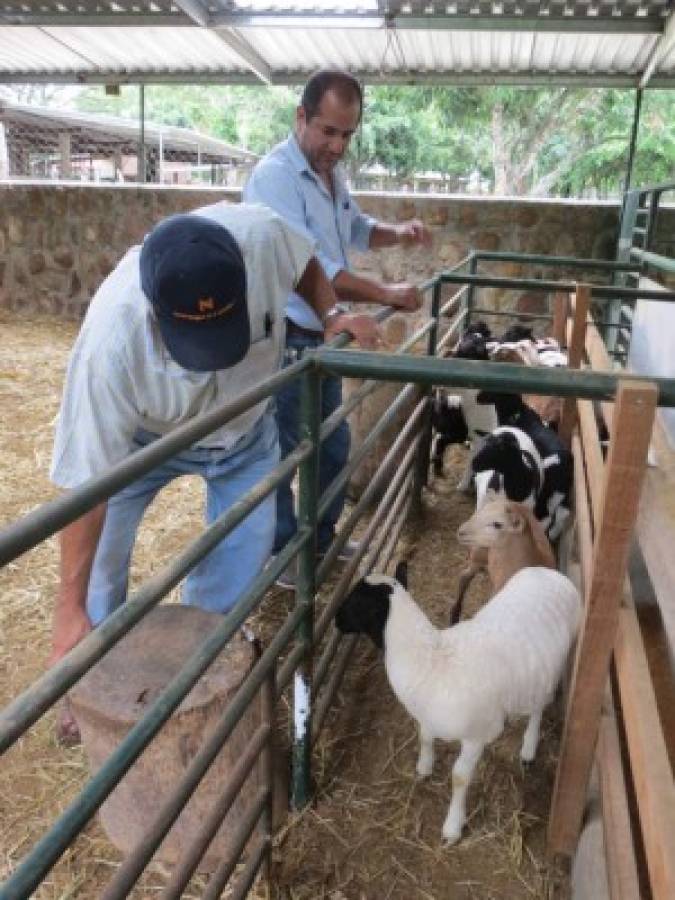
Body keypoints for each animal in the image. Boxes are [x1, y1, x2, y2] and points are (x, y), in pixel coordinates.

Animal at [336, 560, 580, 848]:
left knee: (540, 706)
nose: (335, 619)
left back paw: (529, 749)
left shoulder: (476, 736)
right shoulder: (427, 717)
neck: (431, 659)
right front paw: (424, 768)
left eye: (355, 601)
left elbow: (460, 778)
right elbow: (424, 738)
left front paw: (452, 828)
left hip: (555, 667)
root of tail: (550, 573)